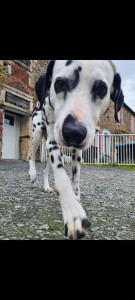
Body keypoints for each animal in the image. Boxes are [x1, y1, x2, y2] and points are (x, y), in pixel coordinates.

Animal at [29, 60, 124, 239]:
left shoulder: (77, 151)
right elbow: (62, 178)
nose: (74, 132)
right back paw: (32, 174)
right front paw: (72, 212)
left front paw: (76, 199)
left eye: (101, 89)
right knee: (31, 155)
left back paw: (46, 186)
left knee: (45, 169)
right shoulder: (53, 141)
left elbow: (75, 179)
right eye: (60, 83)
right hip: (38, 132)